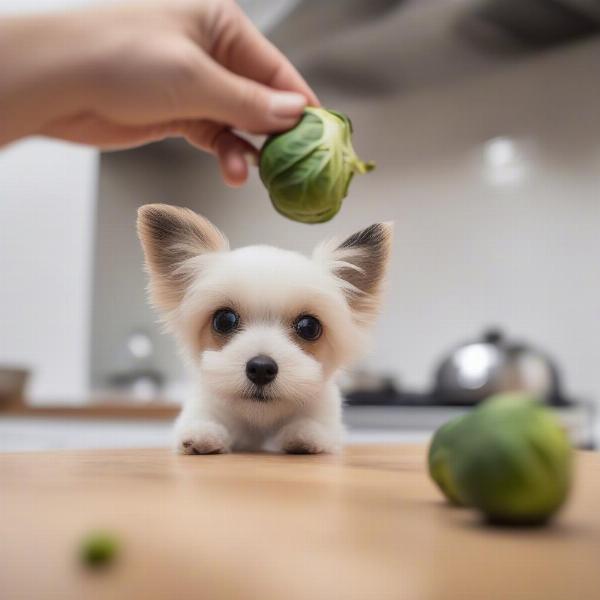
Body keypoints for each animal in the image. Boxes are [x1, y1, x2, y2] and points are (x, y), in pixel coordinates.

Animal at [139, 204, 394, 452]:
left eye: (309, 327)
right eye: (224, 320)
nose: (261, 368)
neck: (261, 418)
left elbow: (315, 428)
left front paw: (304, 434)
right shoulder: (207, 402)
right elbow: (202, 420)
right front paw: (203, 433)